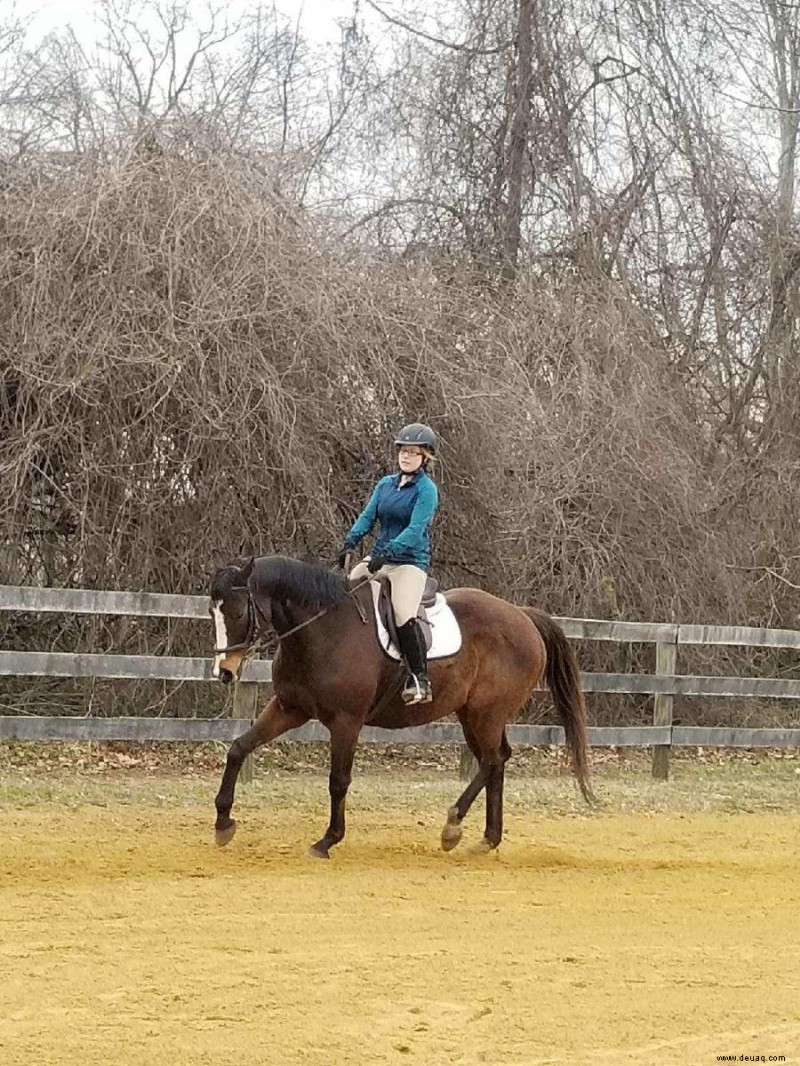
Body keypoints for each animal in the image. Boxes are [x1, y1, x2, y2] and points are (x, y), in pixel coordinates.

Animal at [210, 558, 593, 857]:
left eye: (238, 611)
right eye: (212, 611)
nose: (224, 672)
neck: (322, 629)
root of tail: (522, 616)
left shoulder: (346, 722)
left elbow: (338, 780)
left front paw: (328, 840)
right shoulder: (290, 708)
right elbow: (239, 748)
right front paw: (223, 822)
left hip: (486, 713)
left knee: (492, 760)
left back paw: (453, 825)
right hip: (473, 715)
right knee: (495, 762)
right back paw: (485, 839)